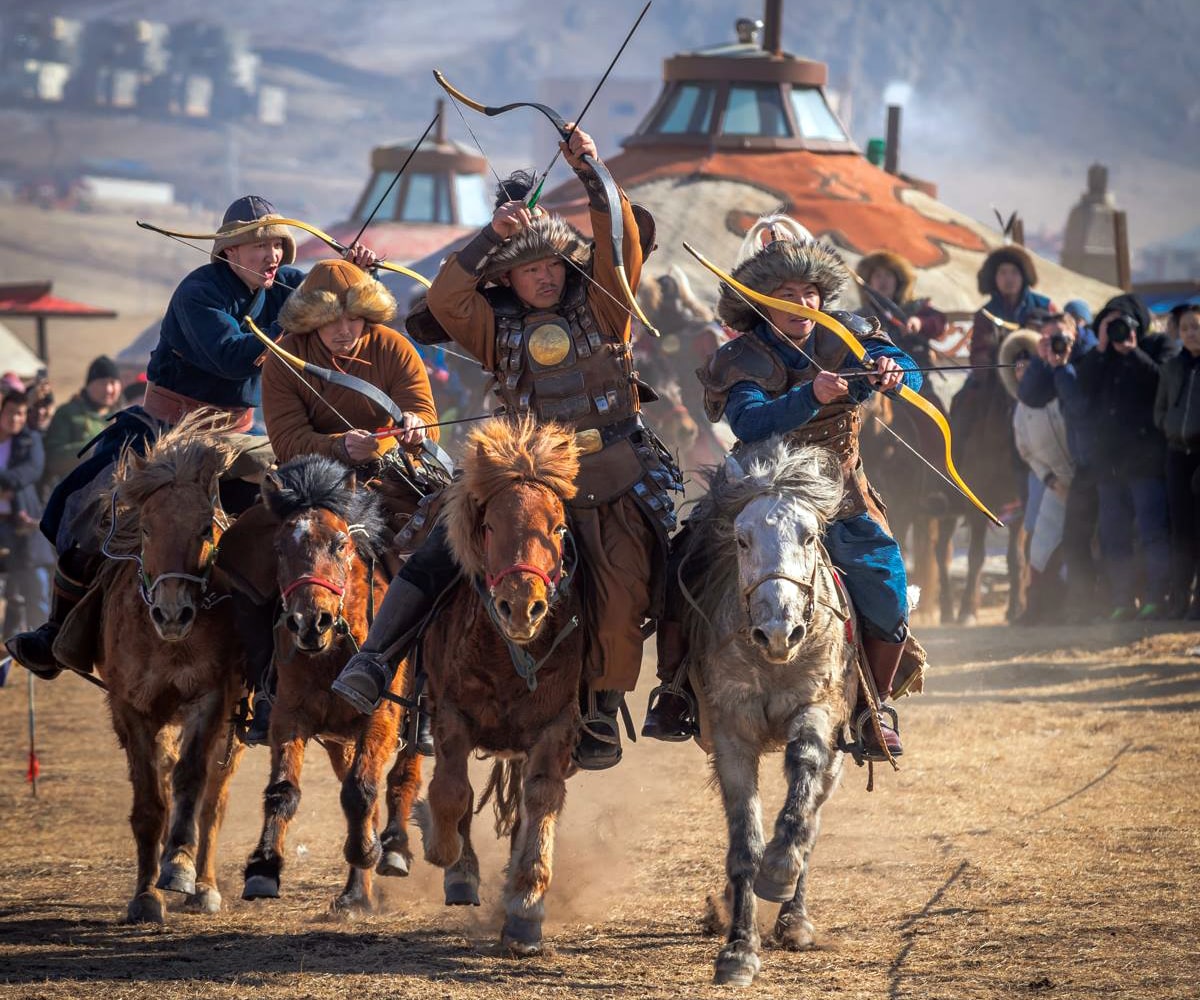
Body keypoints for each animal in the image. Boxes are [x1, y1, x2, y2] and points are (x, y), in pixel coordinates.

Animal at [91, 412, 248, 921]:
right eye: (146, 529)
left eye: (204, 529)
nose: (172, 613)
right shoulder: (132, 709)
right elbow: (150, 801)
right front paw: (145, 895)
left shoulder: (212, 698)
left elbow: (191, 782)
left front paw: (178, 865)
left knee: (214, 798)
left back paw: (205, 884)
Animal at [241, 456, 424, 917]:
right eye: (279, 548)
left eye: (340, 544)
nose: (311, 621)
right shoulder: (290, 717)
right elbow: (283, 791)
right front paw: (263, 867)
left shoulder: (382, 716)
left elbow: (362, 792)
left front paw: (369, 851)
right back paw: (357, 893)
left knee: (402, 779)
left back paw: (394, 849)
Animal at [420, 417, 583, 955]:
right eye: (490, 525)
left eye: (558, 527)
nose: (521, 607)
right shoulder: (448, 713)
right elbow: (451, 791)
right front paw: (448, 856)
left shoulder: (557, 726)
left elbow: (542, 799)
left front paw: (526, 904)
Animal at [681, 441, 859, 989]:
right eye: (741, 540)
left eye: (810, 536)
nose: (779, 631)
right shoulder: (731, 735)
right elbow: (744, 843)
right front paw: (739, 949)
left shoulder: (818, 709)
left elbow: (802, 776)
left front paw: (780, 869)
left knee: (814, 819)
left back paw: (794, 919)